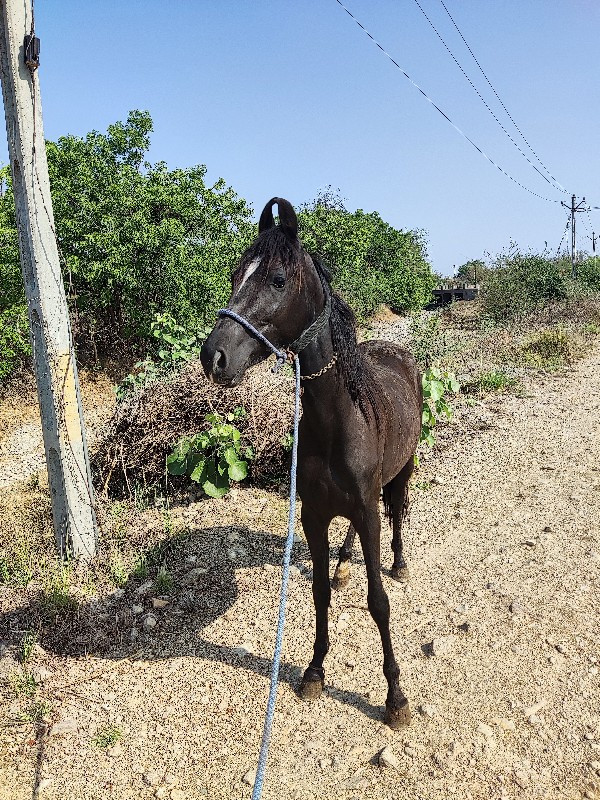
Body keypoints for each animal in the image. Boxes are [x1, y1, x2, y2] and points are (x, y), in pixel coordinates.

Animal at [202, 197, 422, 728]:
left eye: (279, 279)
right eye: (236, 273)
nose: (213, 356)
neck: (339, 420)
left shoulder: (365, 508)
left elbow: (378, 603)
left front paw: (395, 697)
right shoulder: (314, 515)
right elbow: (320, 591)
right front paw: (315, 671)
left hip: (403, 470)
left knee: (398, 511)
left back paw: (399, 562)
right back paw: (345, 564)